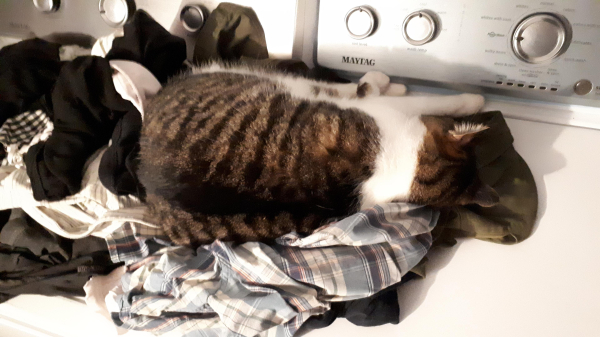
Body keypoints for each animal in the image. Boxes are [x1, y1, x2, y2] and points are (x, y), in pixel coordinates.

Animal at [138, 61, 500, 245]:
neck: (402, 169)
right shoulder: (381, 112)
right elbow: (425, 101)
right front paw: (473, 99)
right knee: (343, 88)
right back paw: (385, 79)